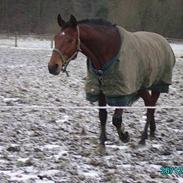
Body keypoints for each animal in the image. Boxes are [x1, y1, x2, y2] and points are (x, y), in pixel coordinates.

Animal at [48, 13, 175, 146]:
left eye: (70, 39)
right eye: (56, 38)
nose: (52, 67)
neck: (108, 50)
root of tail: (164, 41)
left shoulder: (122, 92)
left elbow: (116, 119)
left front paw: (124, 135)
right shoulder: (101, 90)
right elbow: (102, 116)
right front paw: (102, 142)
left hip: (157, 85)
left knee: (150, 106)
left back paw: (143, 137)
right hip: (142, 87)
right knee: (150, 104)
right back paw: (152, 131)